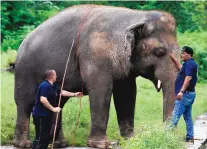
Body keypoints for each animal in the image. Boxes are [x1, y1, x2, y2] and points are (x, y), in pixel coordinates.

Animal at [12, 4, 180, 148]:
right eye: (159, 52)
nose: (165, 135)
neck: (135, 16)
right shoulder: (94, 55)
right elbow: (101, 90)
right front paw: (101, 144)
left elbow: (127, 93)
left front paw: (130, 141)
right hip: (25, 71)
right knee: (26, 102)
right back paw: (23, 144)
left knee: (58, 102)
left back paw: (59, 144)